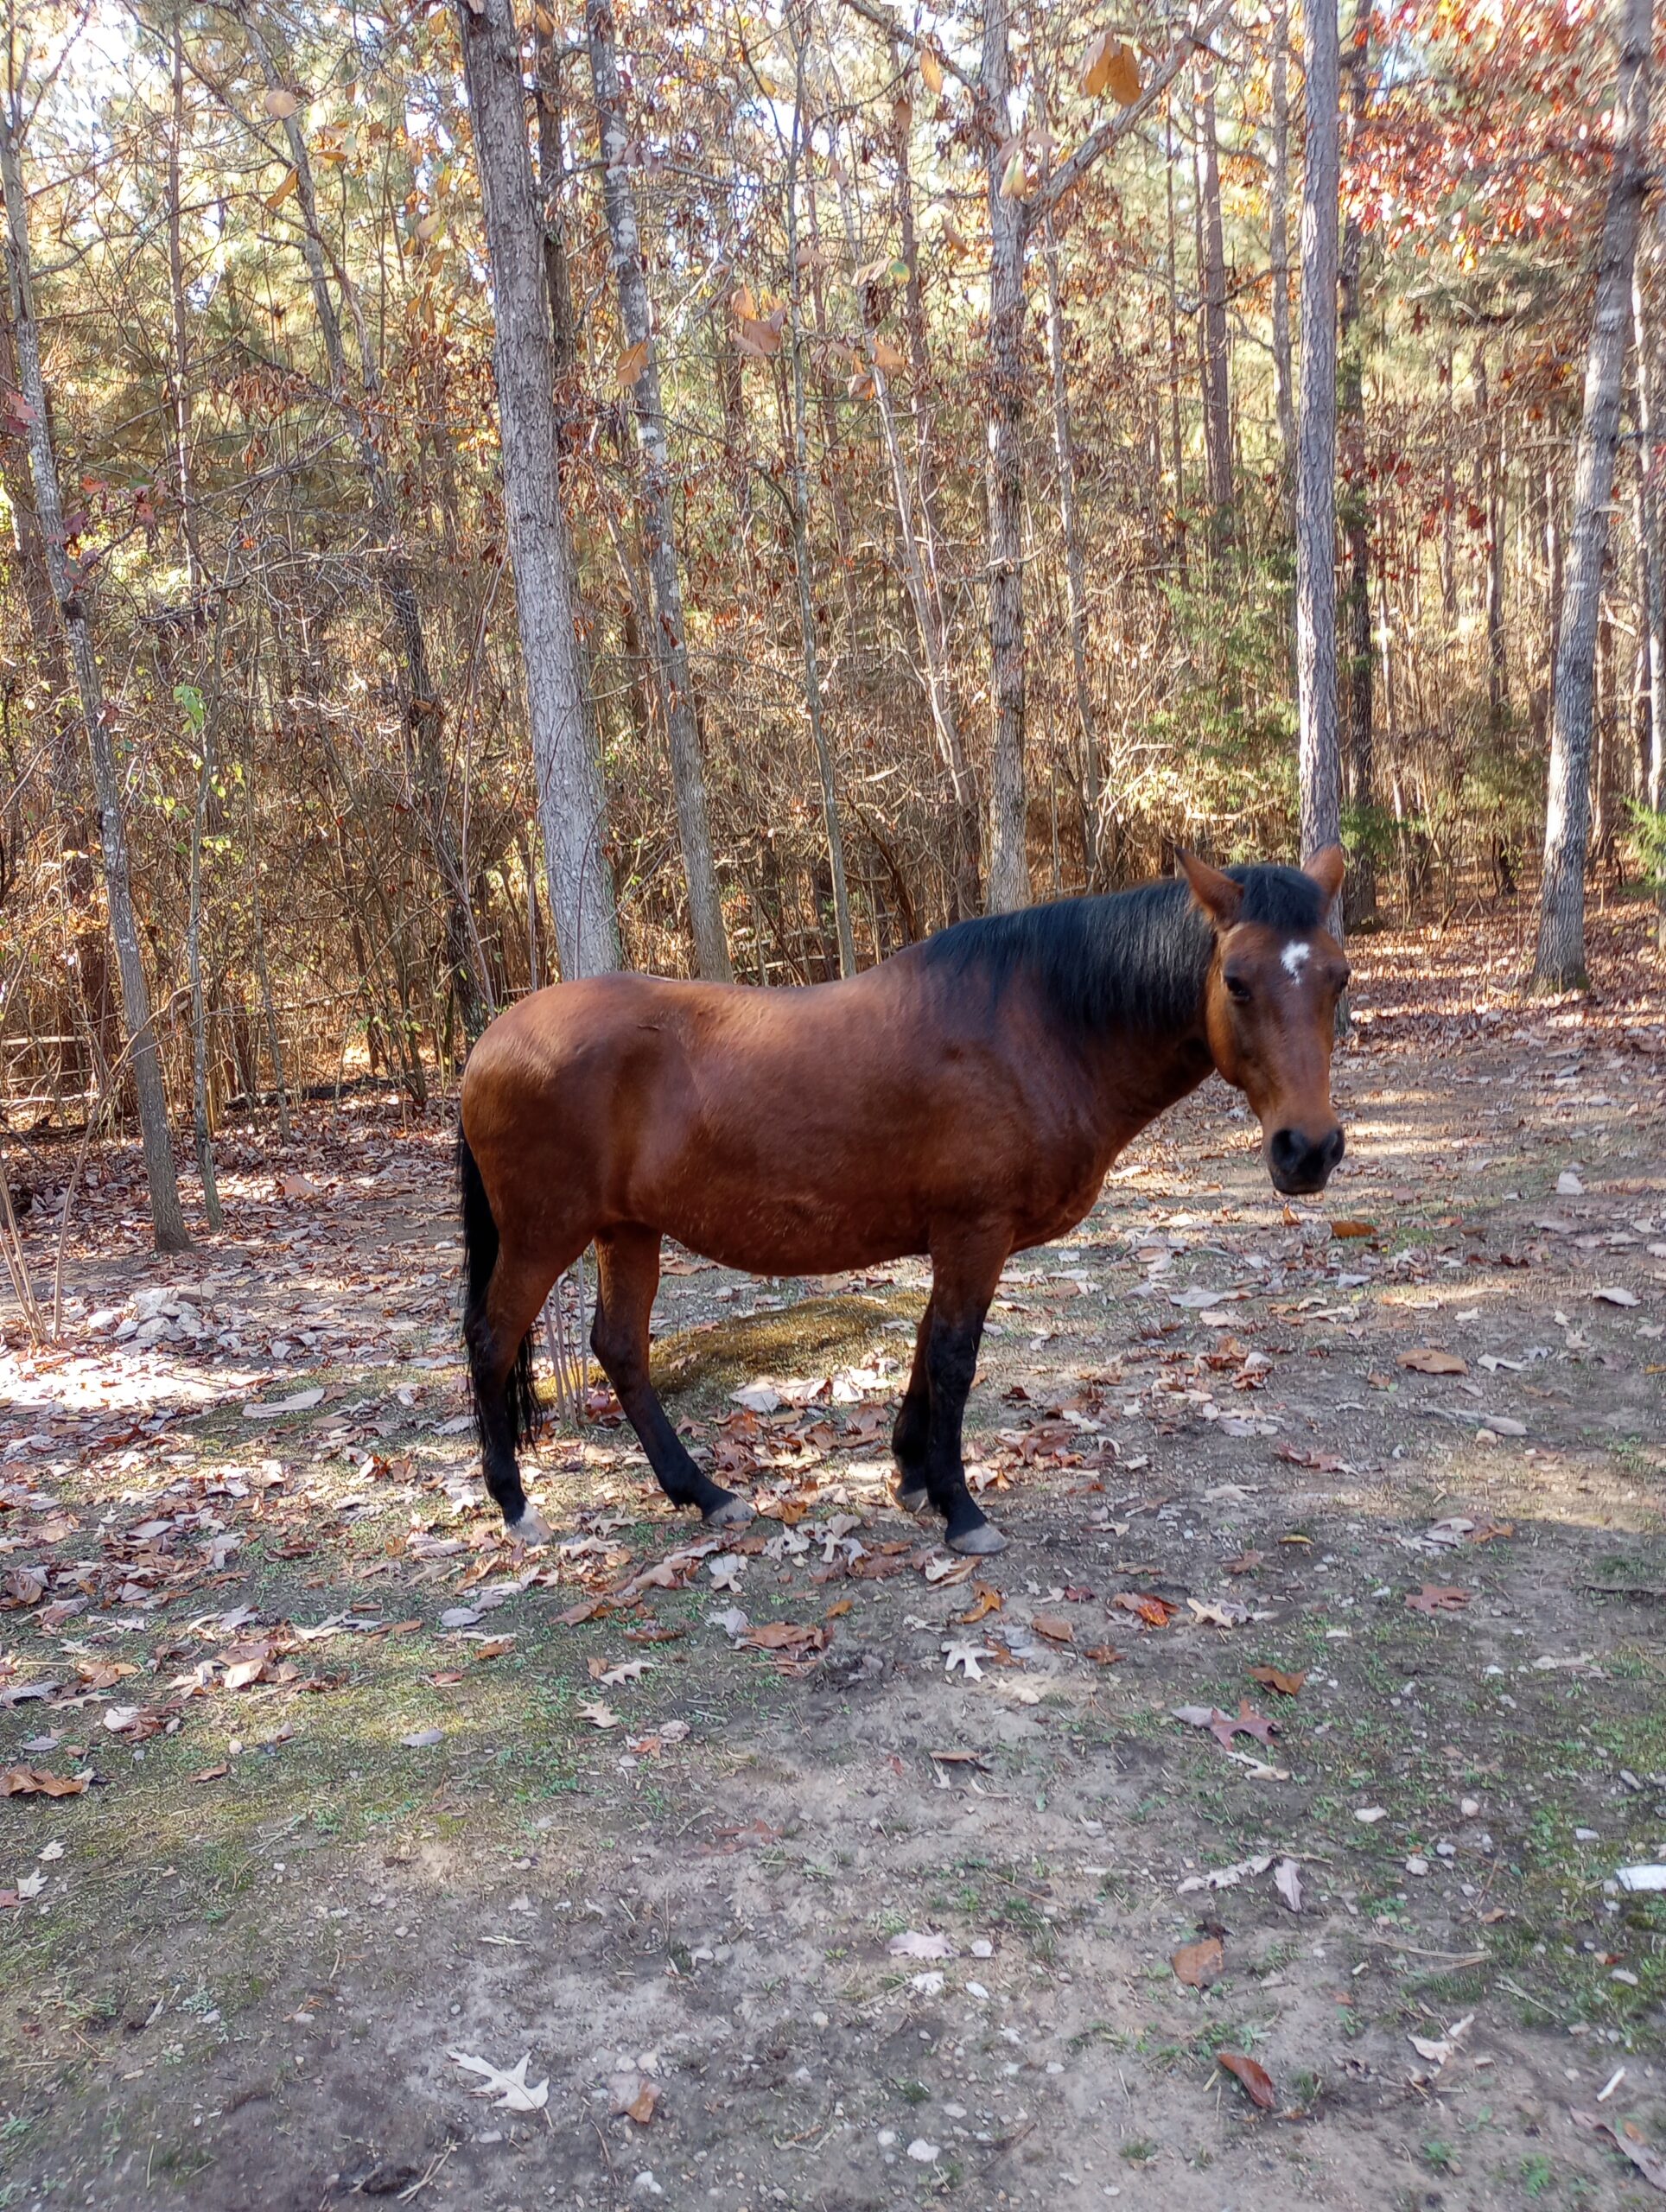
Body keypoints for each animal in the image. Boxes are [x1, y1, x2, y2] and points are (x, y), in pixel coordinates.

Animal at [457, 847, 1349, 1556]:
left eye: (1337, 978)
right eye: (1236, 981)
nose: (1308, 1150)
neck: (1039, 1028)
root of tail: (491, 1041)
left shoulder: (956, 1239)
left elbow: (926, 1346)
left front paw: (913, 1474)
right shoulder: (974, 1231)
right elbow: (955, 1358)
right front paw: (961, 1508)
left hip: (627, 1230)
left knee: (621, 1350)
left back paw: (703, 1494)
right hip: (545, 1235)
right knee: (494, 1342)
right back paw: (517, 1505)